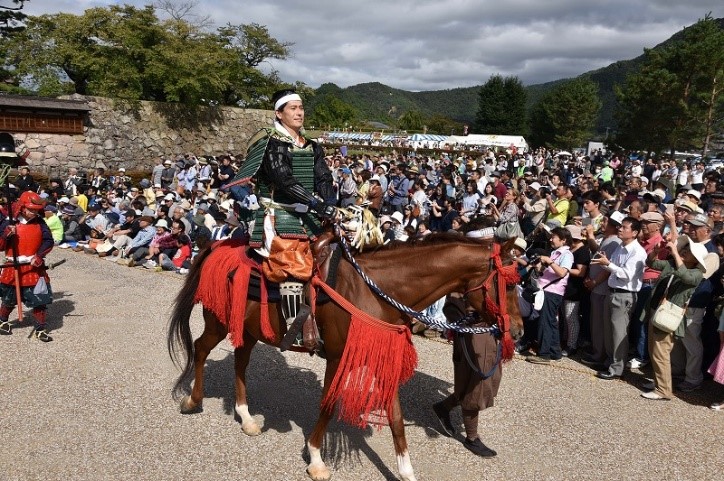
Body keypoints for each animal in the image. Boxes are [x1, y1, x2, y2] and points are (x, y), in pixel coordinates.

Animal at [167, 232, 524, 480]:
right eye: (508, 285)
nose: (519, 331)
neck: (374, 291)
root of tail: (219, 245)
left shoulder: (381, 358)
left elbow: (396, 417)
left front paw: (406, 470)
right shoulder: (338, 357)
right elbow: (328, 405)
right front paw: (316, 460)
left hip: (251, 328)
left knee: (240, 361)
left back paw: (246, 417)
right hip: (218, 319)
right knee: (201, 348)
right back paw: (193, 400)